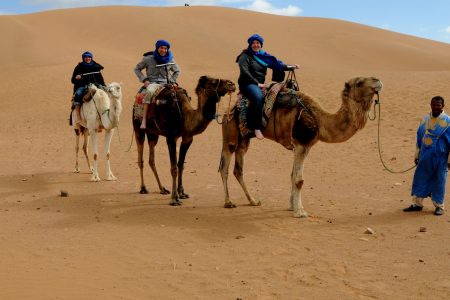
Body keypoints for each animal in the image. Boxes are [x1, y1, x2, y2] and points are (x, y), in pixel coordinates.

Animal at [133, 76, 236, 205]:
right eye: (212, 82)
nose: (231, 84)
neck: (185, 116)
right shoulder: (171, 138)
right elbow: (174, 168)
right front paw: (174, 199)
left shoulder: (188, 138)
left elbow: (181, 165)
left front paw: (181, 193)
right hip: (138, 129)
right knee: (140, 158)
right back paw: (143, 188)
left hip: (153, 134)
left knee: (151, 159)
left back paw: (162, 189)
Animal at [220, 77, 382, 218]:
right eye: (359, 83)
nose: (378, 82)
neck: (320, 120)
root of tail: (231, 108)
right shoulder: (301, 144)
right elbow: (299, 180)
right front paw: (300, 212)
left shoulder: (306, 147)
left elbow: (292, 175)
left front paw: (292, 206)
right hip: (231, 135)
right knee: (224, 167)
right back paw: (228, 202)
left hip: (244, 140)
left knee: (238, 170)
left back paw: (253, 201)